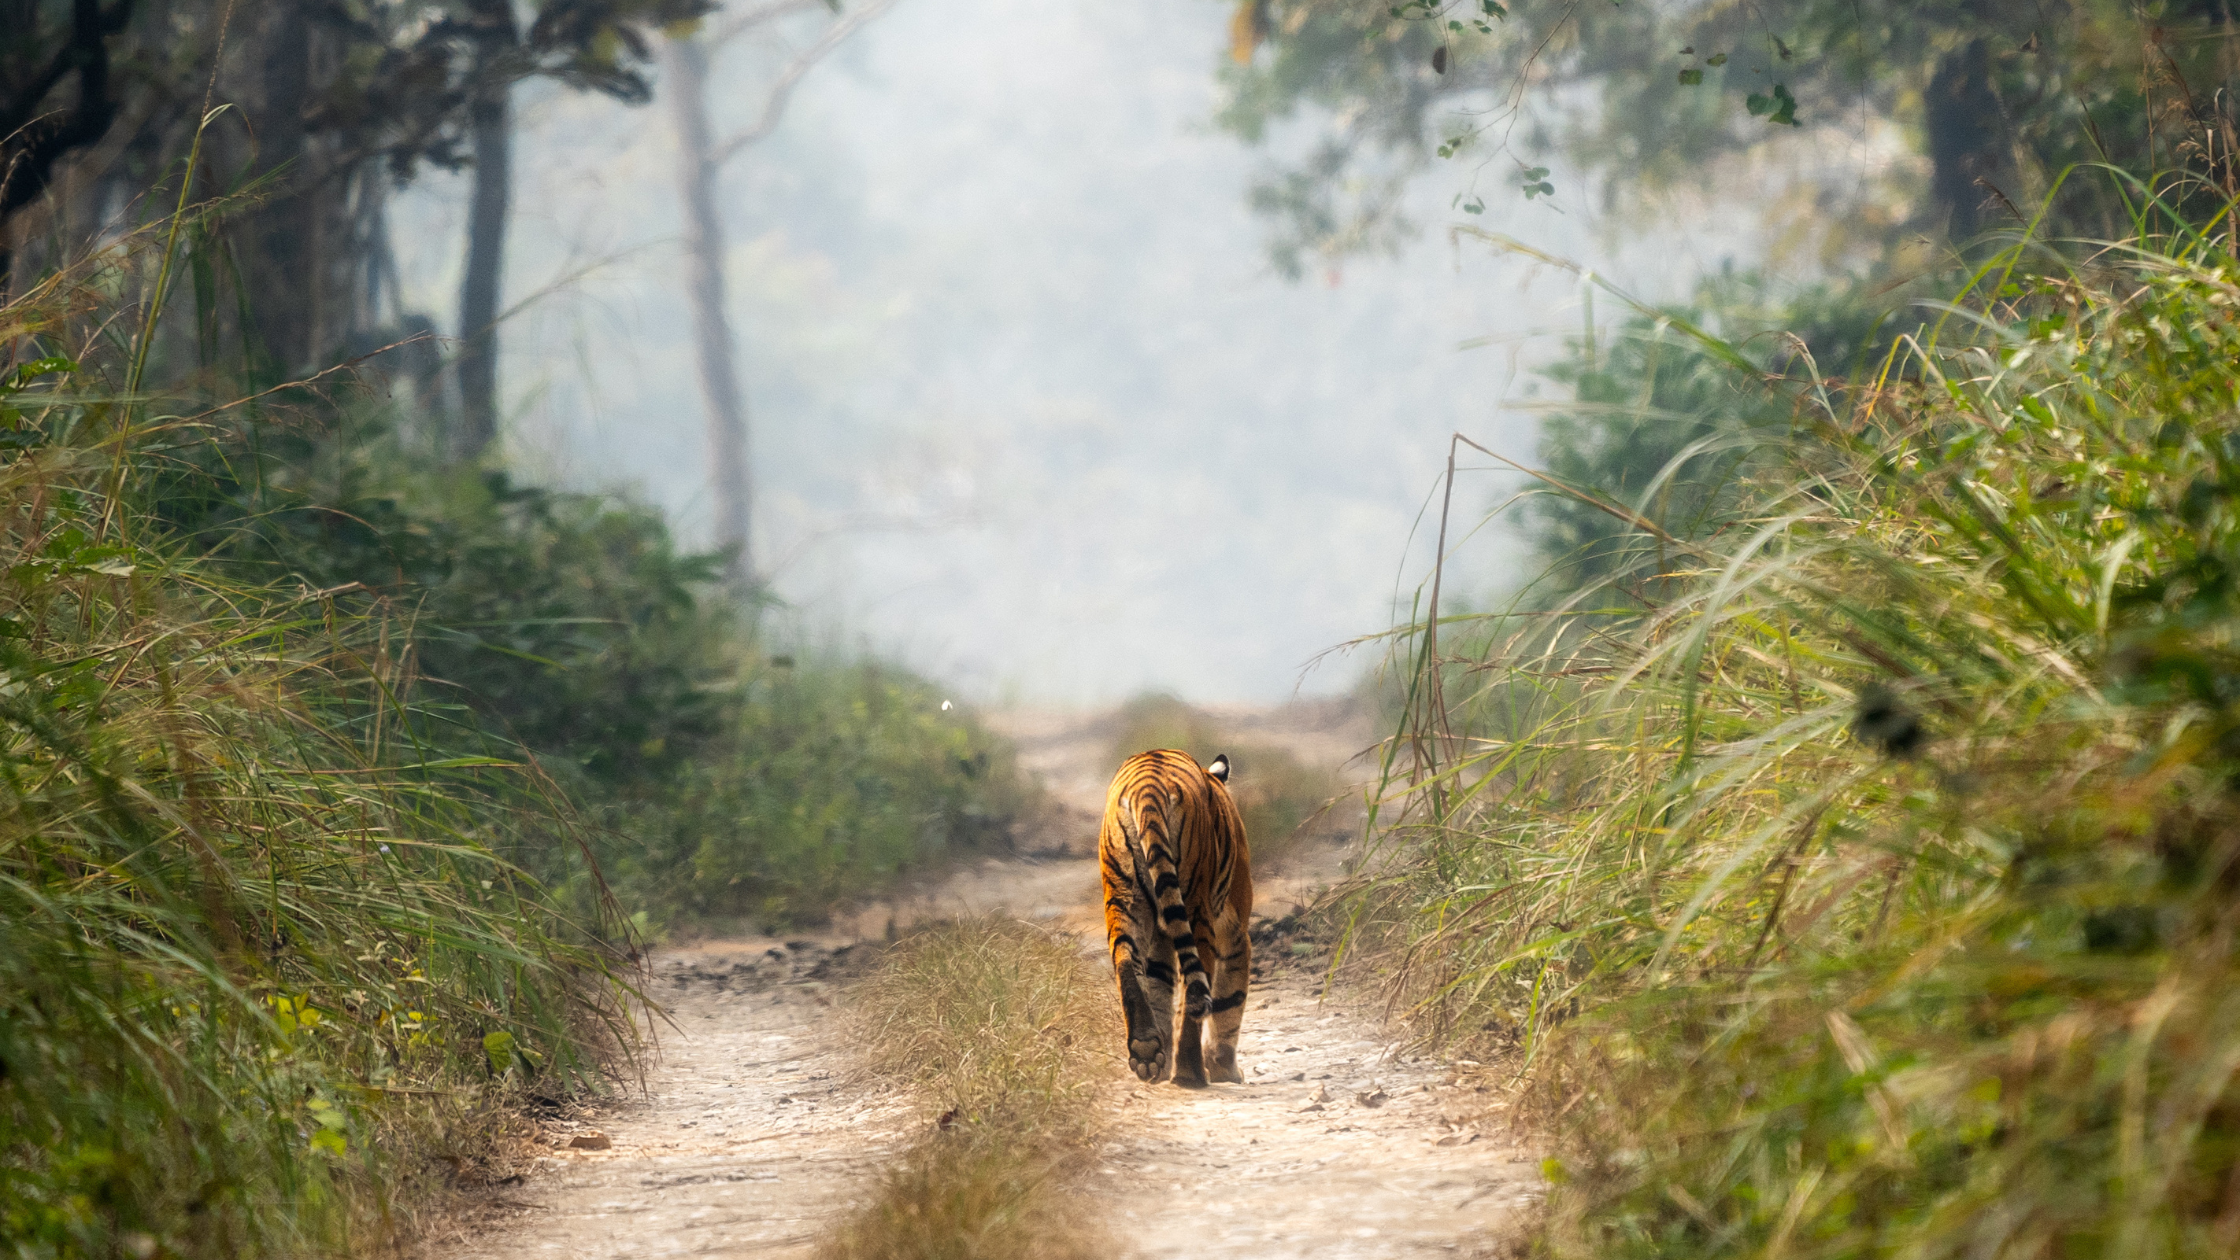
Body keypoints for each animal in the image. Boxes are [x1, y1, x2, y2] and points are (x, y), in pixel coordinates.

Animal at [1098, 748, 1253, 1087]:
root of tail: (1145, 785)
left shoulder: (1160, 934)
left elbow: (1158, 986)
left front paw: (1160, 1058)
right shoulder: (1235, 930)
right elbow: (1230, 999)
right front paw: (1225, 1069)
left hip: (1123, 898)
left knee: (1125, 961)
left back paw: (1146, 1051)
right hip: (1197, 909)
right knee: (1199, 987)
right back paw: (1190, 1073)